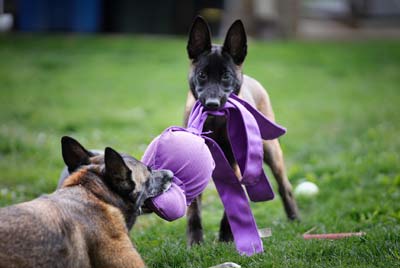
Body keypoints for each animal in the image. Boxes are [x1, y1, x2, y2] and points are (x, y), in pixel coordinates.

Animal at [183, 17, 298, 247]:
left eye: (226, 76)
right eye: (202, 75)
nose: (212, 104)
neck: (215, 121)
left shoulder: (238, 165)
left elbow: (237, 200)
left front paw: (227, 236)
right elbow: (194, 209)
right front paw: (195, 241)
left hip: (271, 151)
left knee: (285, 187)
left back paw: (294, 218)